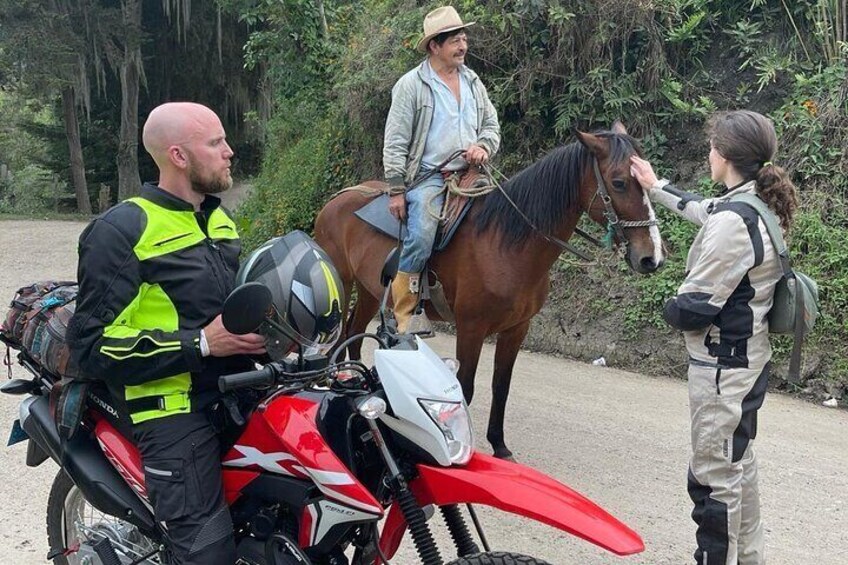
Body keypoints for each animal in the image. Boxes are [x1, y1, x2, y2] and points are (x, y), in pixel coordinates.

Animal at [314, 124, 664, 458]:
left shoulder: (516, 329)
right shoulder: (471, 327)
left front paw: (500, 446)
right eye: (619, 182)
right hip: (343, 283)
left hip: (370, 291)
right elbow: (464, 387)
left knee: (354, 332)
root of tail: (337, 199)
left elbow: (501, 386)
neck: (506, 243)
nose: (652, 257)